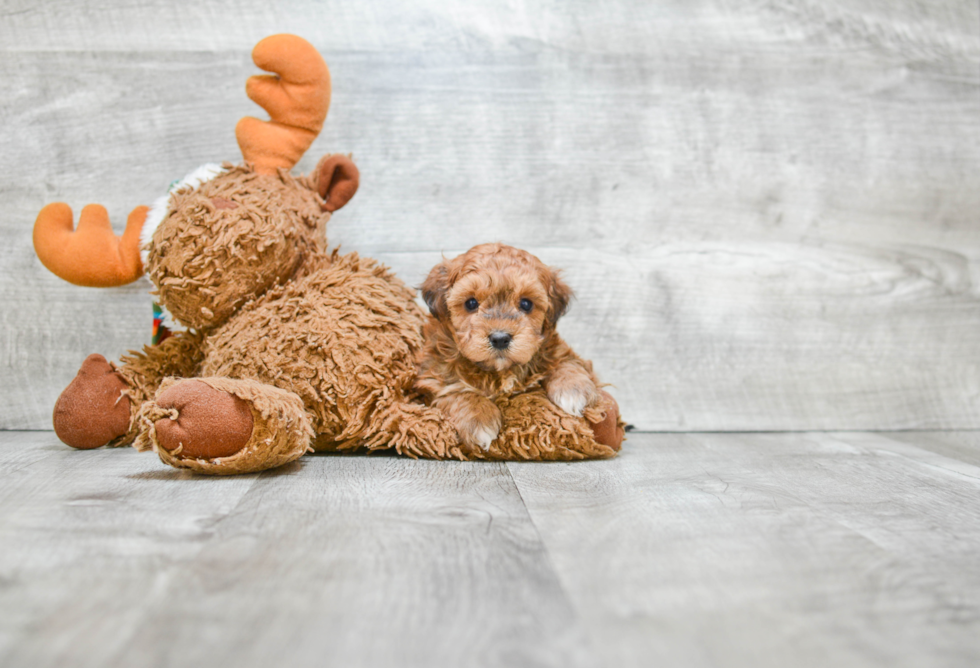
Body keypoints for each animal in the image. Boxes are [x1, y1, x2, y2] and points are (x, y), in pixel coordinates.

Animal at [418, 243, 624, 456]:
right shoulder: (435, 374)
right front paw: (478, 418)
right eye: (471, 303)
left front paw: (574, 391)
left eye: (526, 304)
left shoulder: (557, 350)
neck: (499, 371)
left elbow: (566, 363)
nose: (500, 338)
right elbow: (454, 390)